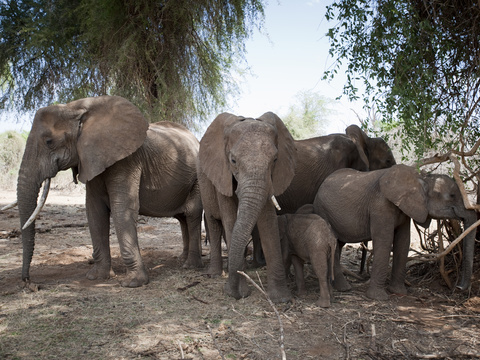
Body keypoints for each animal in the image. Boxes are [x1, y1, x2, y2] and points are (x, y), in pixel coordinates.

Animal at [16, 95, 202, 286]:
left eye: (49, 142)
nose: (28, 281)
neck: (76, 108)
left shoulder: (126, 160)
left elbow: (121, 208)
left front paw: (132, 283)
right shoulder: (91, 159)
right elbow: (95, 210)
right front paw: (97, 277)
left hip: (198, 178)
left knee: (192, 214)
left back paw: (190, 266)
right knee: (182, 218)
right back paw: (182, 259)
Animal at [198, 112, 296, 300]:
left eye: (275, 159)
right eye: (233, 160)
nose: (231, 292)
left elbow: (268, 221)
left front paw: (281, 299)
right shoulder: (222, 173)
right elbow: (229, 219)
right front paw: (238, 292)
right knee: (214, 223)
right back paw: (215, 274)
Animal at [316, 165, 476, 300]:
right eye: (452, 196)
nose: (458, 287)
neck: (421, 179)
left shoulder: (405, 209)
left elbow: (403, 241)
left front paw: (399, 292)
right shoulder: (380, 205)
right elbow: (384, 241)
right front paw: (378, 298)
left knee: (338, 245)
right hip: (324, 212)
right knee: (334, 244)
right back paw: (344, 288)